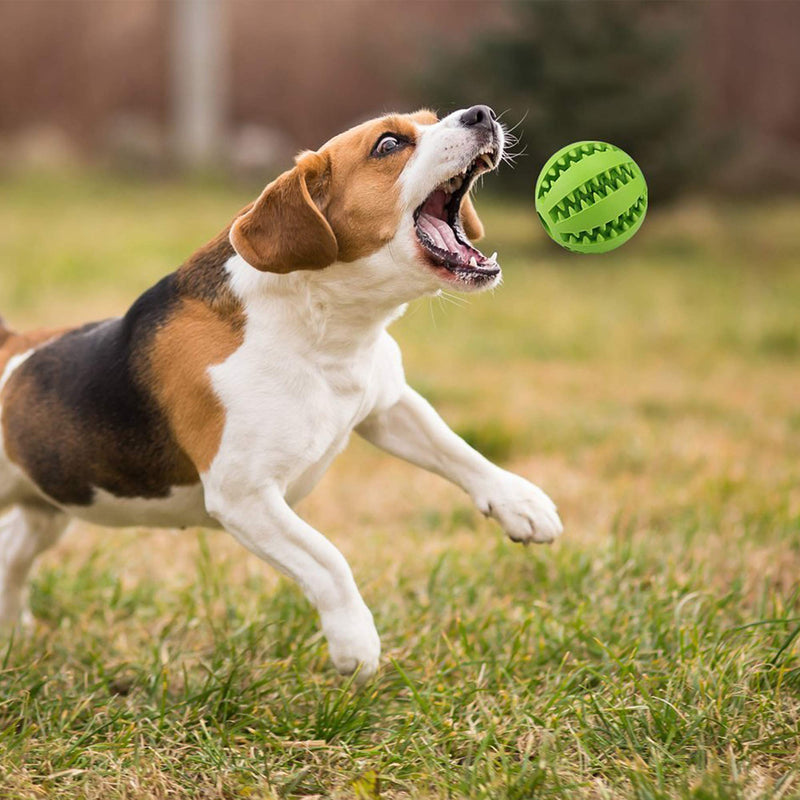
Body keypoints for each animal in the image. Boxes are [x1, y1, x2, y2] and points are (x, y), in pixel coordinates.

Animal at [0, 106, 560, 680]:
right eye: (388, 144)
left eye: (431, 119)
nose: (481, 114)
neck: (325, 329)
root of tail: (11, 343)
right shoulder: (245, 497)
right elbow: (328, 559)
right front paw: (355, 642)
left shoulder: (387, 406)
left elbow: (458, 451)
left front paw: (520, 502)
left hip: (50, 508)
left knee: (12, 550)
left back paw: (15, 631)